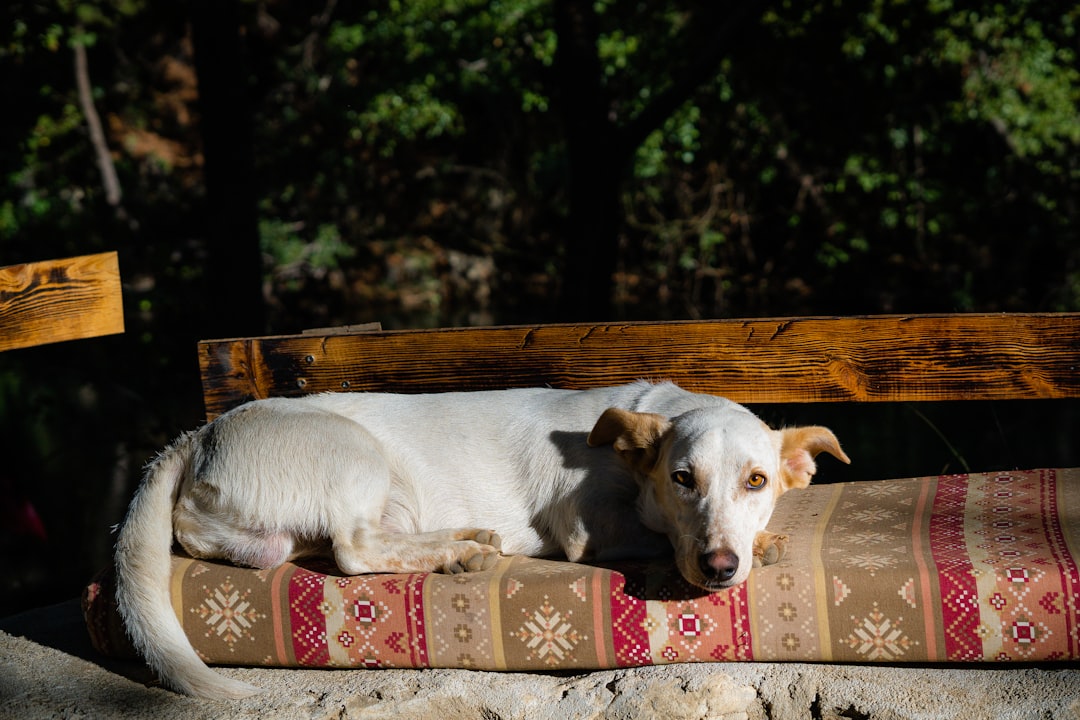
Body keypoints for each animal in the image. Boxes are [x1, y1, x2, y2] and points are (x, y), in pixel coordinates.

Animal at [113, 382, 846, 699]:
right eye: (681, 478)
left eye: (757, 481)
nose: (720, 566)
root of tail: (197, 436)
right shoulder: (588, 526)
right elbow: (647, 535)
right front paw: (758, 547)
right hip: (356, 454)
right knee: (354, 549)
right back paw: (460, 551)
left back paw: (463, 539)